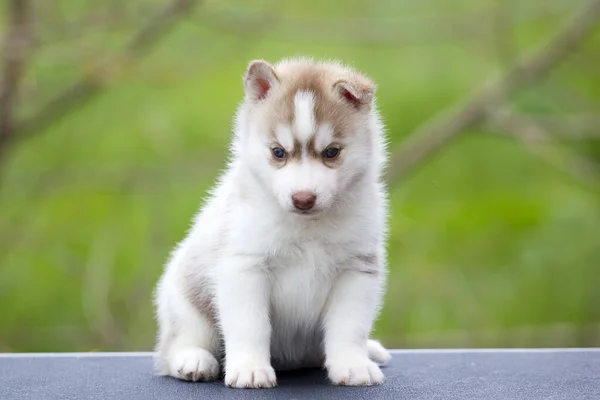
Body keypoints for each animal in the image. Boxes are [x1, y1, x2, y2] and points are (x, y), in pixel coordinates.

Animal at [152, 56, 392, 388]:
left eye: (331, 152)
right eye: (278, 152)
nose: (303, 198)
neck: (307, 227)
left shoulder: (357, 269)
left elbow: (349, 327)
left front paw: (353, 365)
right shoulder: (245, 266)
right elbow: (251, 327)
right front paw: (251, 369)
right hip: (185, 300)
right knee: (176, 344)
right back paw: (194, 360)